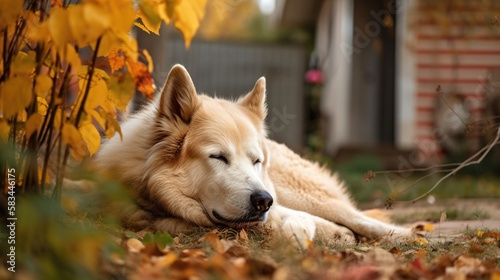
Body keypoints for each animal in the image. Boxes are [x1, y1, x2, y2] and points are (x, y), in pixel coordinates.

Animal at [94, 64, 414, 247]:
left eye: (256, 161)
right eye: (218, 157)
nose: (263, 201)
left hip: (303, 195)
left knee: (363, 221)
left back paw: (409, 235)